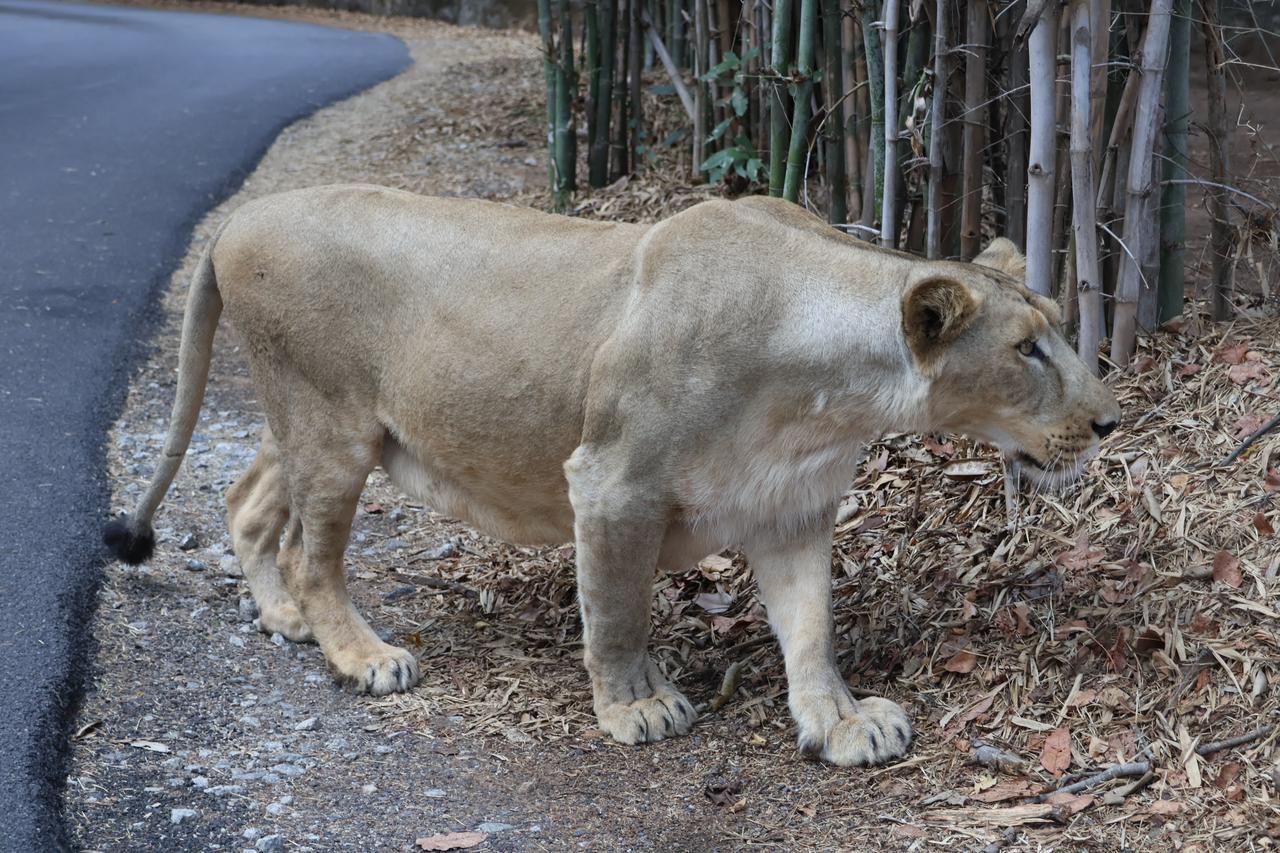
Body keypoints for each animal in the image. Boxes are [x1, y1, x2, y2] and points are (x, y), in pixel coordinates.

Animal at [104, 185, 1119, 767]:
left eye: (1059, 329)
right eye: (1028, 349)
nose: (1110, 420)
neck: (828, 390)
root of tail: (241, 215)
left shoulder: (791, 505)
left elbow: (811, 626)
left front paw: (839, 720)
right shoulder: (610, 480)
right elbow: (619, 608)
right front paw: (636, 706)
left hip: (313, 424)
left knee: (247, 500)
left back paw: (279, 615)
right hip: (332, 424)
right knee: (313, 554)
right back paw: (359, 653)